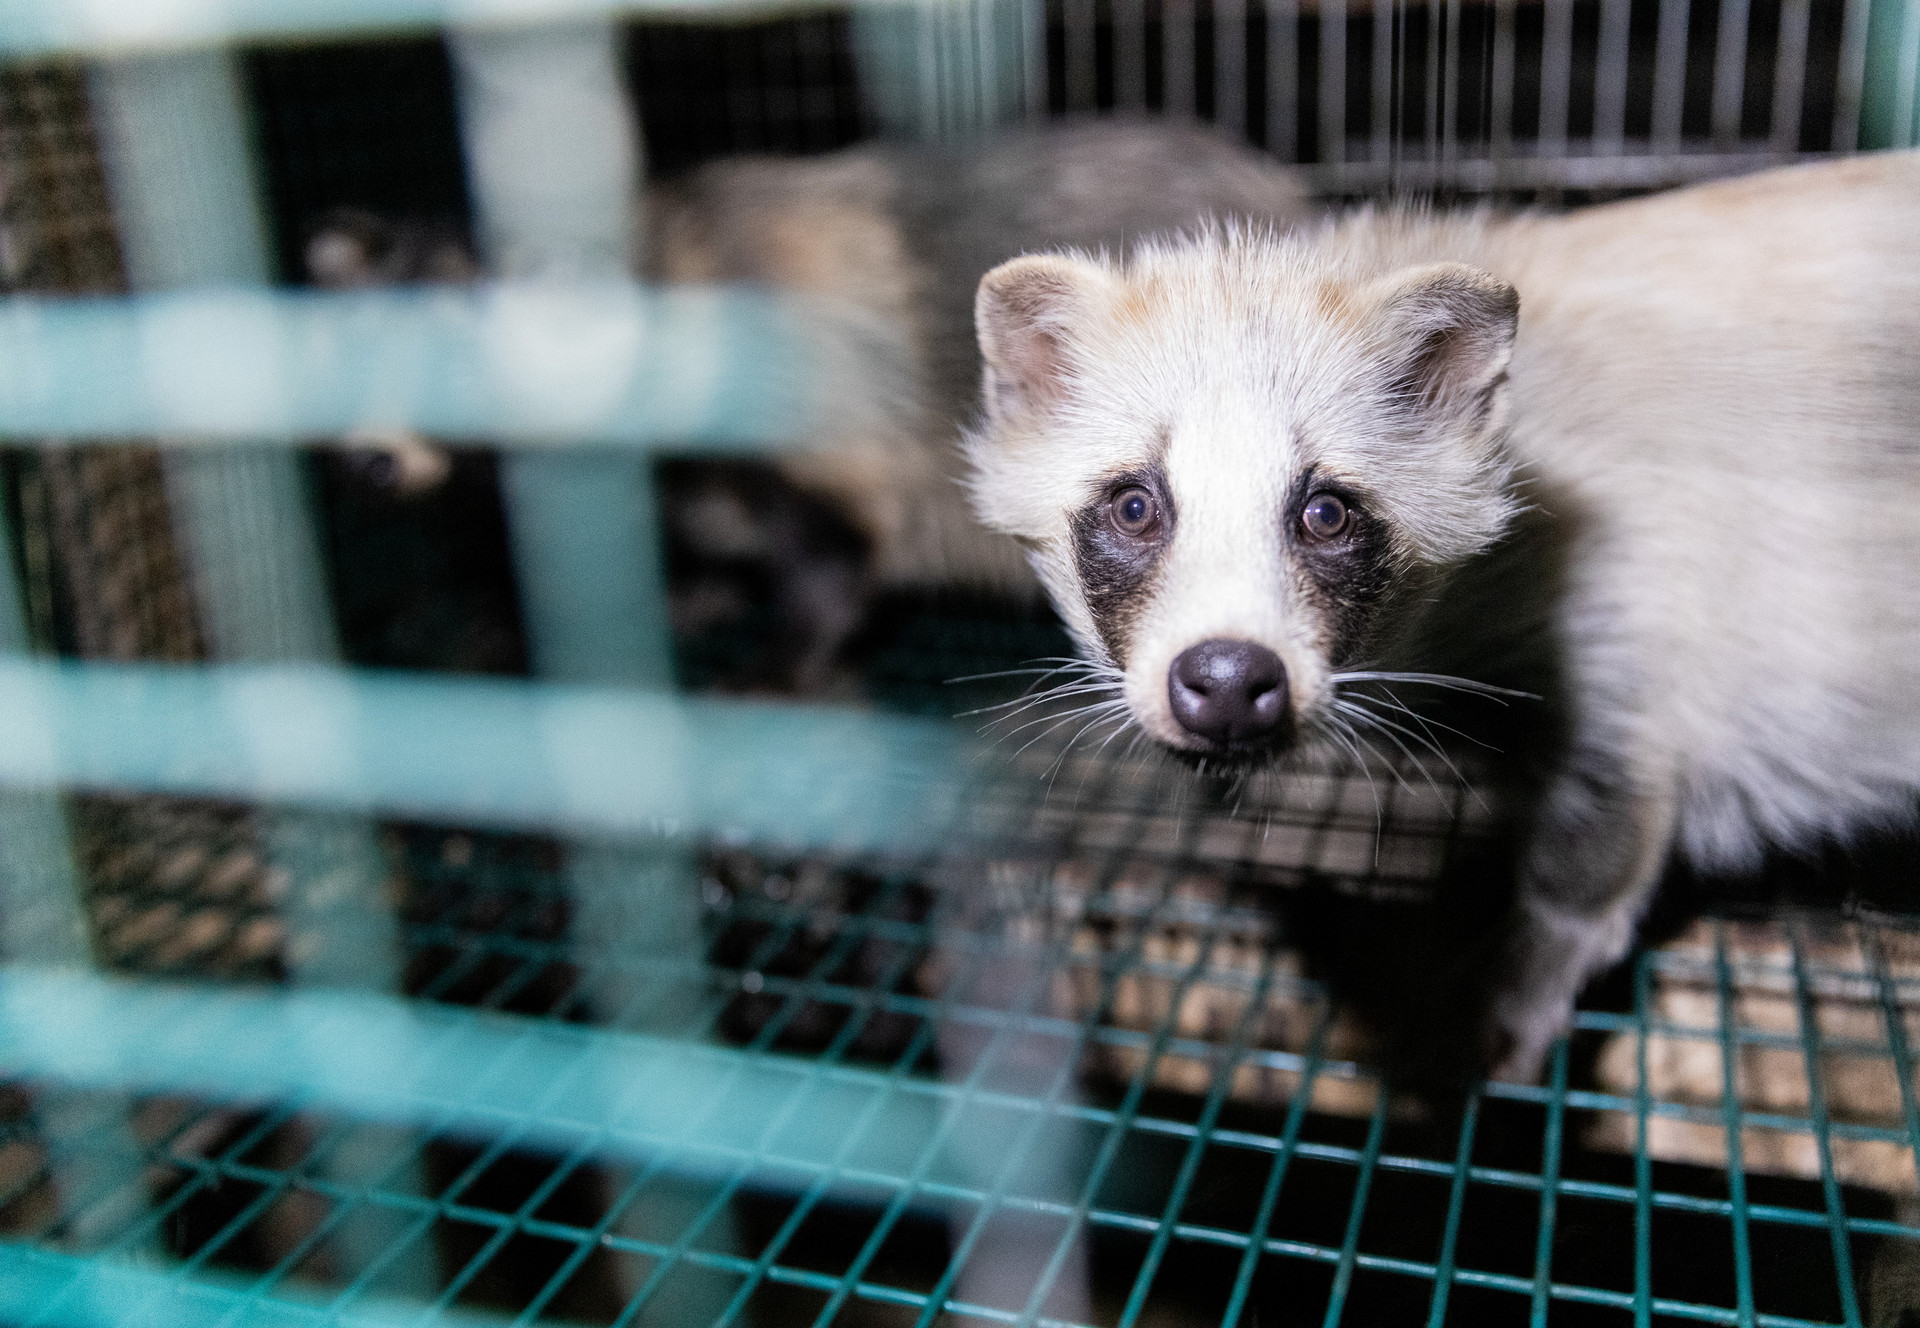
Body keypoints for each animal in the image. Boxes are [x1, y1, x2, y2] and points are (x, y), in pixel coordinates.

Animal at [964, 151, 1920, 1081]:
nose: (1230, 681)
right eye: (1134, 506)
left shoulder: (1642, 612)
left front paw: (1522, 987)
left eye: (1327, 512)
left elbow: (1601, 844)